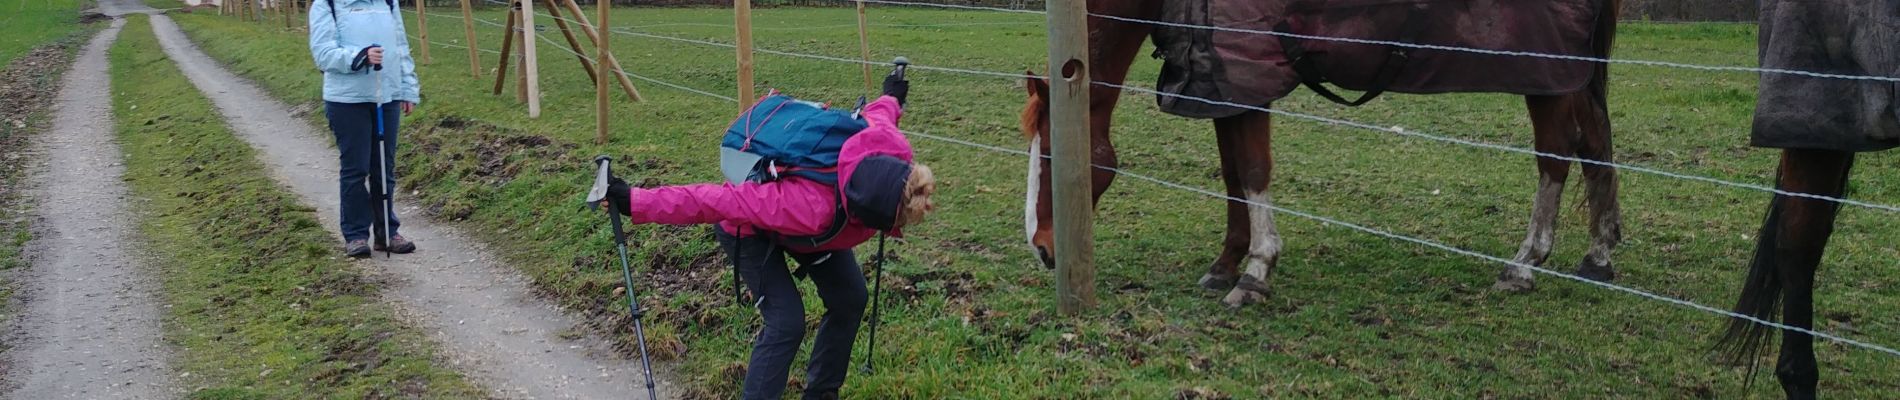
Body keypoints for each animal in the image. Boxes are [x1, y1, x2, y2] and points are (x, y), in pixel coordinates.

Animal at [1018, 0, 1626, 307]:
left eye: (1051, 154)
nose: (1043, 250)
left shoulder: (1248, 74)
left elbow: (1252, 171)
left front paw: (1255, 271)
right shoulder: (1225, 85)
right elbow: (1232, 174)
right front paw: (1225, 264)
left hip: (1546, 74)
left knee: (1556, 156)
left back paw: (1524, 265)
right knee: (1594, 147)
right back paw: (1597, 256)